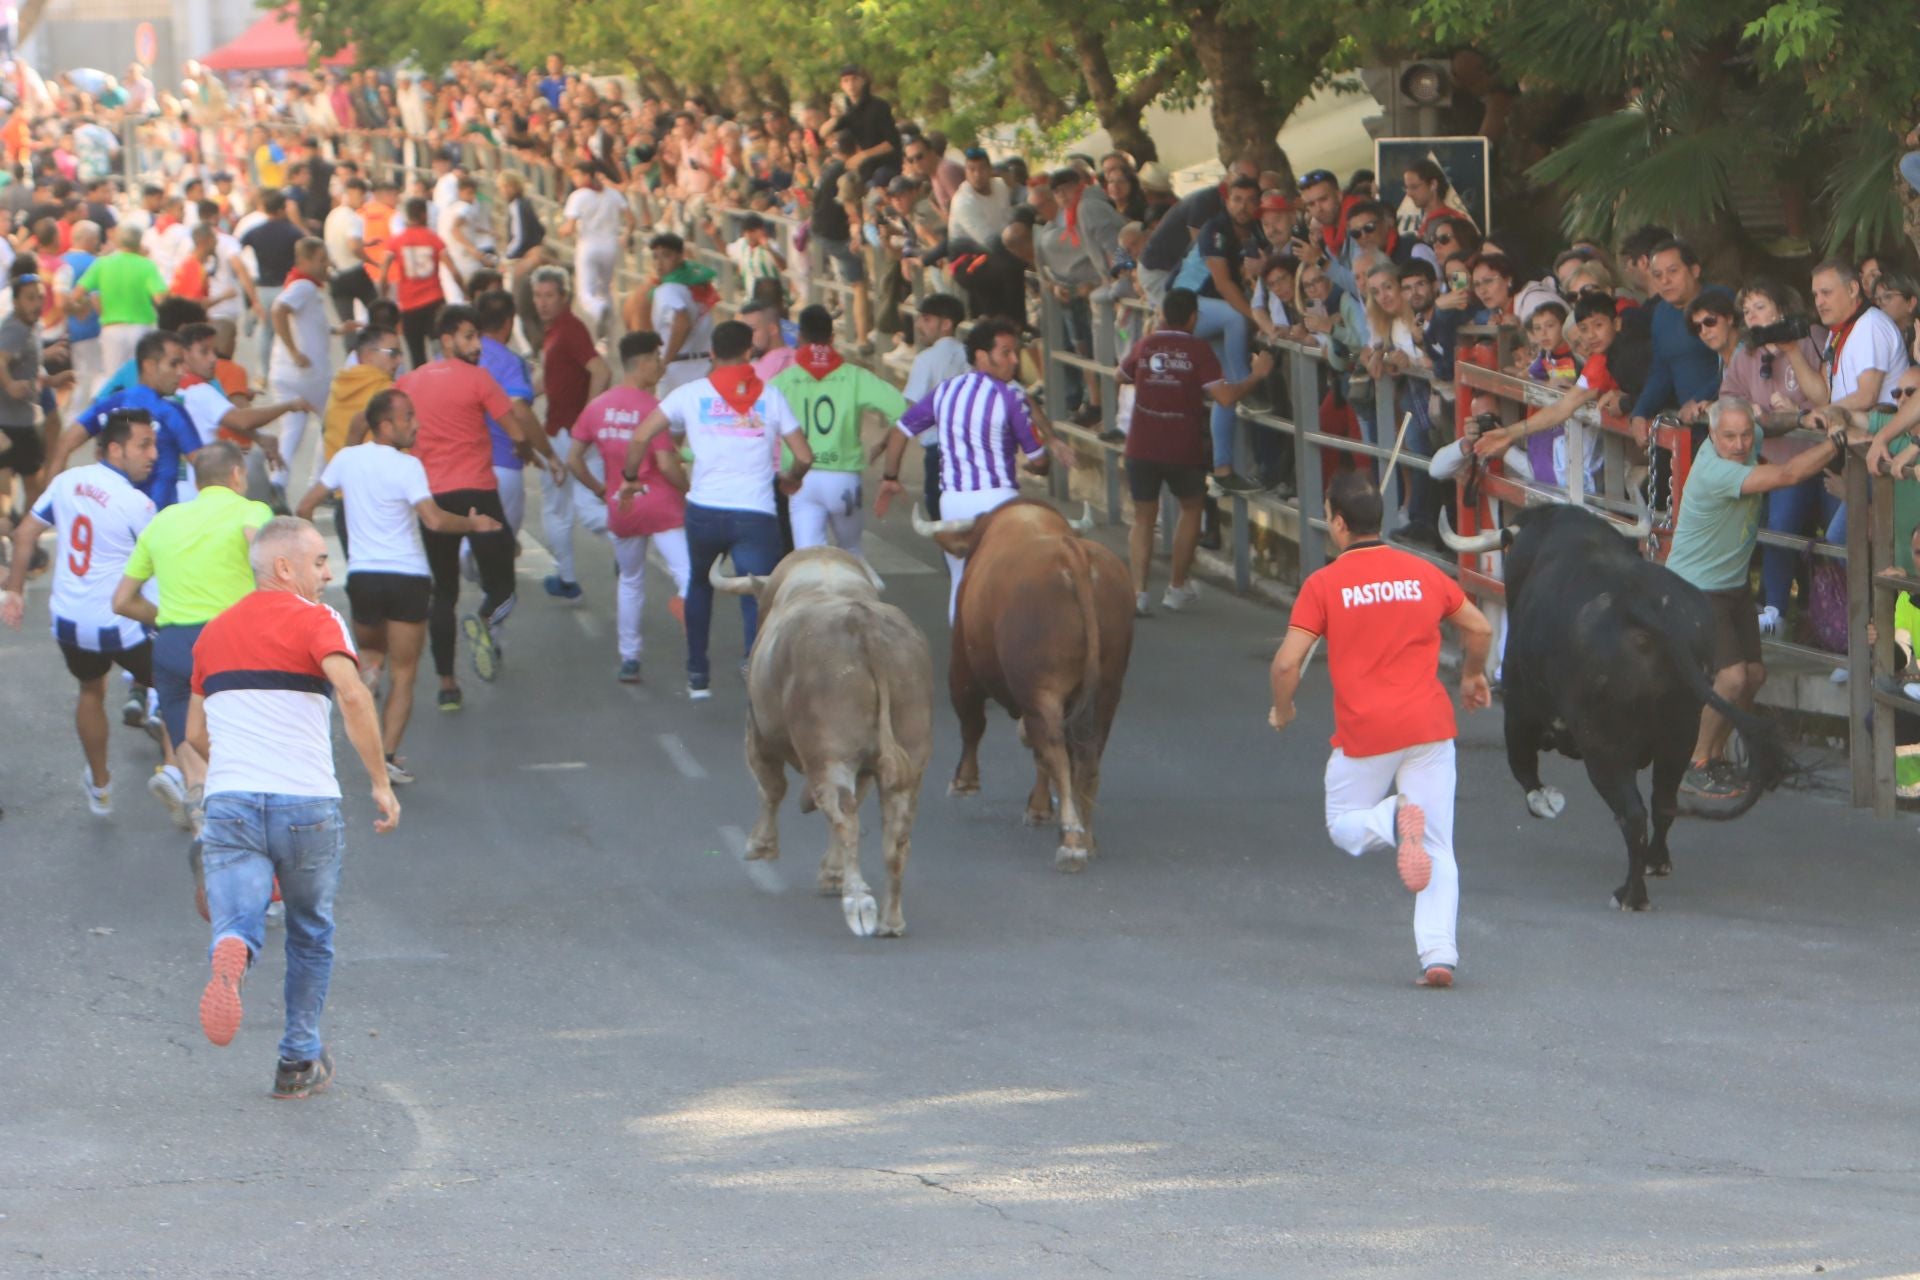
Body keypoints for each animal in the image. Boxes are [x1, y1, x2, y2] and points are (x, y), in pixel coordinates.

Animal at [714, 545, 936, 936]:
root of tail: (864, 624)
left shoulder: (757, 730)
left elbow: (771, 788)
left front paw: (760, 845)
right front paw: (831, 874)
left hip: (831, 757)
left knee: (843, 814)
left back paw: (858, 902)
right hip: (909, 760)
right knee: (894, 833)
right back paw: (890, 919)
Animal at [910, 498, 1128, 871]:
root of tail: (1072, 554)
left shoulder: (962, 665)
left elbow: (972, 724)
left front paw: (964, 781)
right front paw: (1038, 807)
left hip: (1040, 689)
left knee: (1053, 749)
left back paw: (1071, 841)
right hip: (1107, 690)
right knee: (1086, 754)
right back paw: (1086, 836)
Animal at [1443, 498, 1789, 909]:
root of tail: (1643, 607)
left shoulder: (1519, 710)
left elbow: (1522, 767)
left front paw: (1545, 802)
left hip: (1603, 748)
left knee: (1633, 813)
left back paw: (1630, 894)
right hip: (1680, 735)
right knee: (1663, 801)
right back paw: (1656, 863)